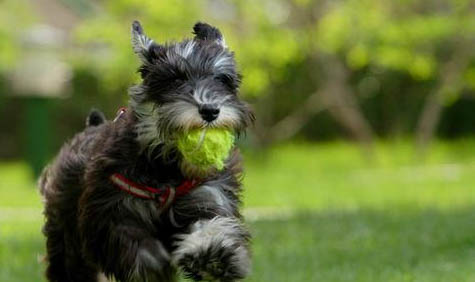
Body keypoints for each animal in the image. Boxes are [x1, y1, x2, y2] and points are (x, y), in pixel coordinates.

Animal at [39, 20, 255, 280]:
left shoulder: (208, 195)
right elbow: (139, 249)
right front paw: (155, 264)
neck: (166, 167)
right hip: (66, 236)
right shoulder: (113, 214)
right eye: (175, 79)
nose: (210, 110)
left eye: (222, 79)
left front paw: (212, 258)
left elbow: (210, 225)